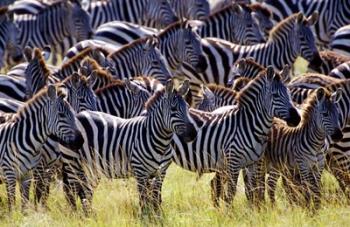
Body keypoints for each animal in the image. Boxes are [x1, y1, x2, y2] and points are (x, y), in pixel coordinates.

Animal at [59, 80, 197, 215]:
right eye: (173, 109)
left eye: (188, 107)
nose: (193, 134)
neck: (160, 142)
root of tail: (78, 114)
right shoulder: (141, 172)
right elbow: (143, 200)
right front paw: (146, 217)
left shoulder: (160, 172)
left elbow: (156, 198)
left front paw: (157, 216)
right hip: (72, 162)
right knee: (73, 191)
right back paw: (77, 216)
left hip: (91, 167)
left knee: (86, 191)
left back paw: (89, 216)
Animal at [171, 66, 300, 207]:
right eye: (275, 95)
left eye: (289, 93)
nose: (297, 118)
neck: (246, 124)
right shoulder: (238, 162)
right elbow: (240, 191)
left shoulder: (254, 163)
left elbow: (254, 188)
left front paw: (259, 209)